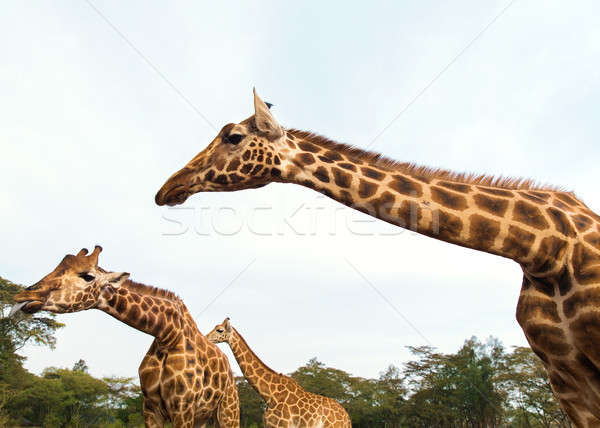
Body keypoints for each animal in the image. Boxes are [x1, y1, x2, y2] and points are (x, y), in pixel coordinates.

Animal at [9, 246, 239, 426]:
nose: (24, 295)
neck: (167, 333)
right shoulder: (151, 407)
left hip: (228, 411)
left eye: (87, 276)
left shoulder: (183, 408)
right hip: (203, 417)